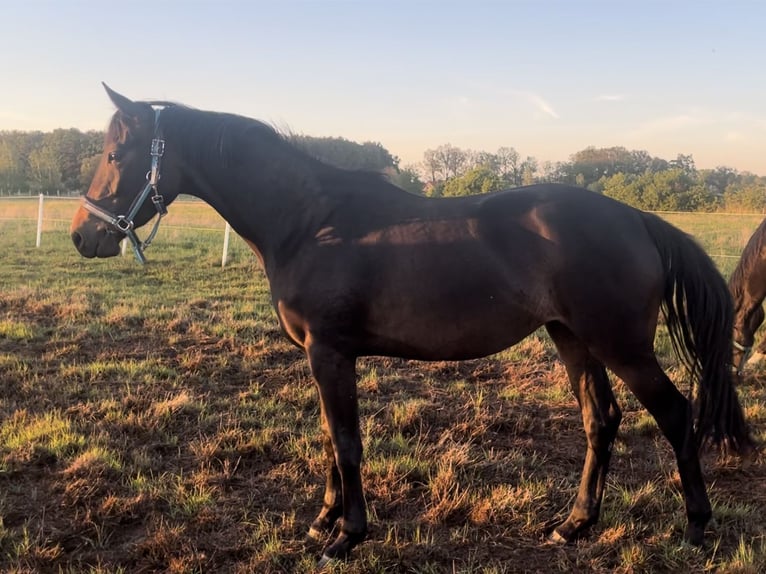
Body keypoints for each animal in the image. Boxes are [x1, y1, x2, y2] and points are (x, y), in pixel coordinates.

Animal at [69, 86, 752, 568]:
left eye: (114, 154)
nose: (83, 235)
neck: (310, 221)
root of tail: (637, 218)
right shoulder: (325, 357)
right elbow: (329, 437)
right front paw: (321, 522)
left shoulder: (330, 353)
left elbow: (347, 441)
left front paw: (346, 537)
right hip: (572, 339)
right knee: (600, 420)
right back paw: (573, 525)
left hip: (621, 345)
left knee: (676, 414)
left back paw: (695, 526)